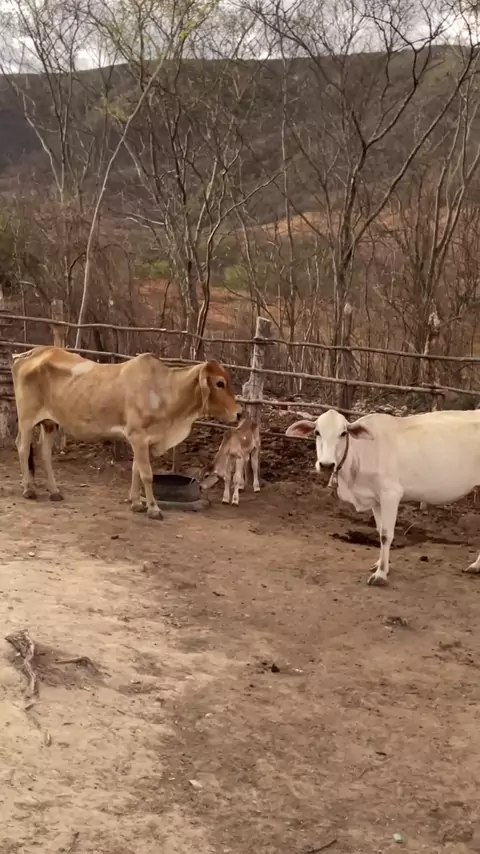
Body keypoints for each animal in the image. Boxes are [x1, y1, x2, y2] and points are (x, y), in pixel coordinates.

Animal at [12, 345, 241, 520]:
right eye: (220, 383)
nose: (239, 413)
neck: (163, 392)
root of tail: (31, 353)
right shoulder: (137, 436)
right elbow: (146, 474)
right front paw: (153, 508)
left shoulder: (142, 440)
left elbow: (136, 470)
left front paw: (136, 503)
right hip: (26, 418)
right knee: (22, 447)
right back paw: (29, 489)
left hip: (50, 422)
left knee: (44, 452)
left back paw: (54, 491)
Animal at [285, 407, 480, 586]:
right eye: (317, 432)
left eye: (343, 433)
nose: (326, 464)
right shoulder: (375, 499)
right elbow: (379, 531)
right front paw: (381, 564)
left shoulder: (391, 493)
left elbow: (386, 534)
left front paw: (380, 574)